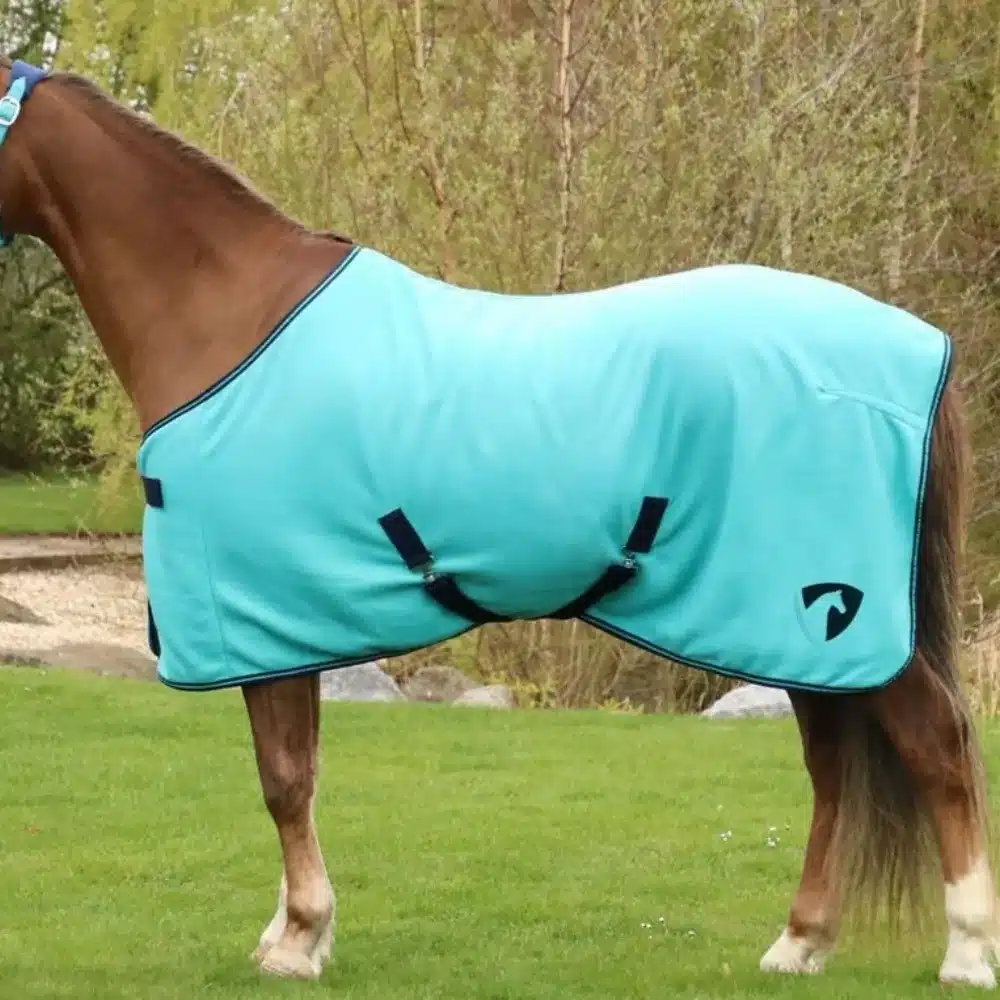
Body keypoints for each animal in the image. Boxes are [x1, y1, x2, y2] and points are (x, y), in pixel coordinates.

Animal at [0, 57, 995, 988]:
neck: (229, 321)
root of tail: (918, 346)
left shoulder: (260, 615)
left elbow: (280, 779)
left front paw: (295, 940)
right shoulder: (292, 624)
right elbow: (303, 772)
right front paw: (301, 932)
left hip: (835, 615)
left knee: (937, 741)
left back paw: (966, 952)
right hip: (798, 632)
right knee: (833, 765)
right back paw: (800, 943)